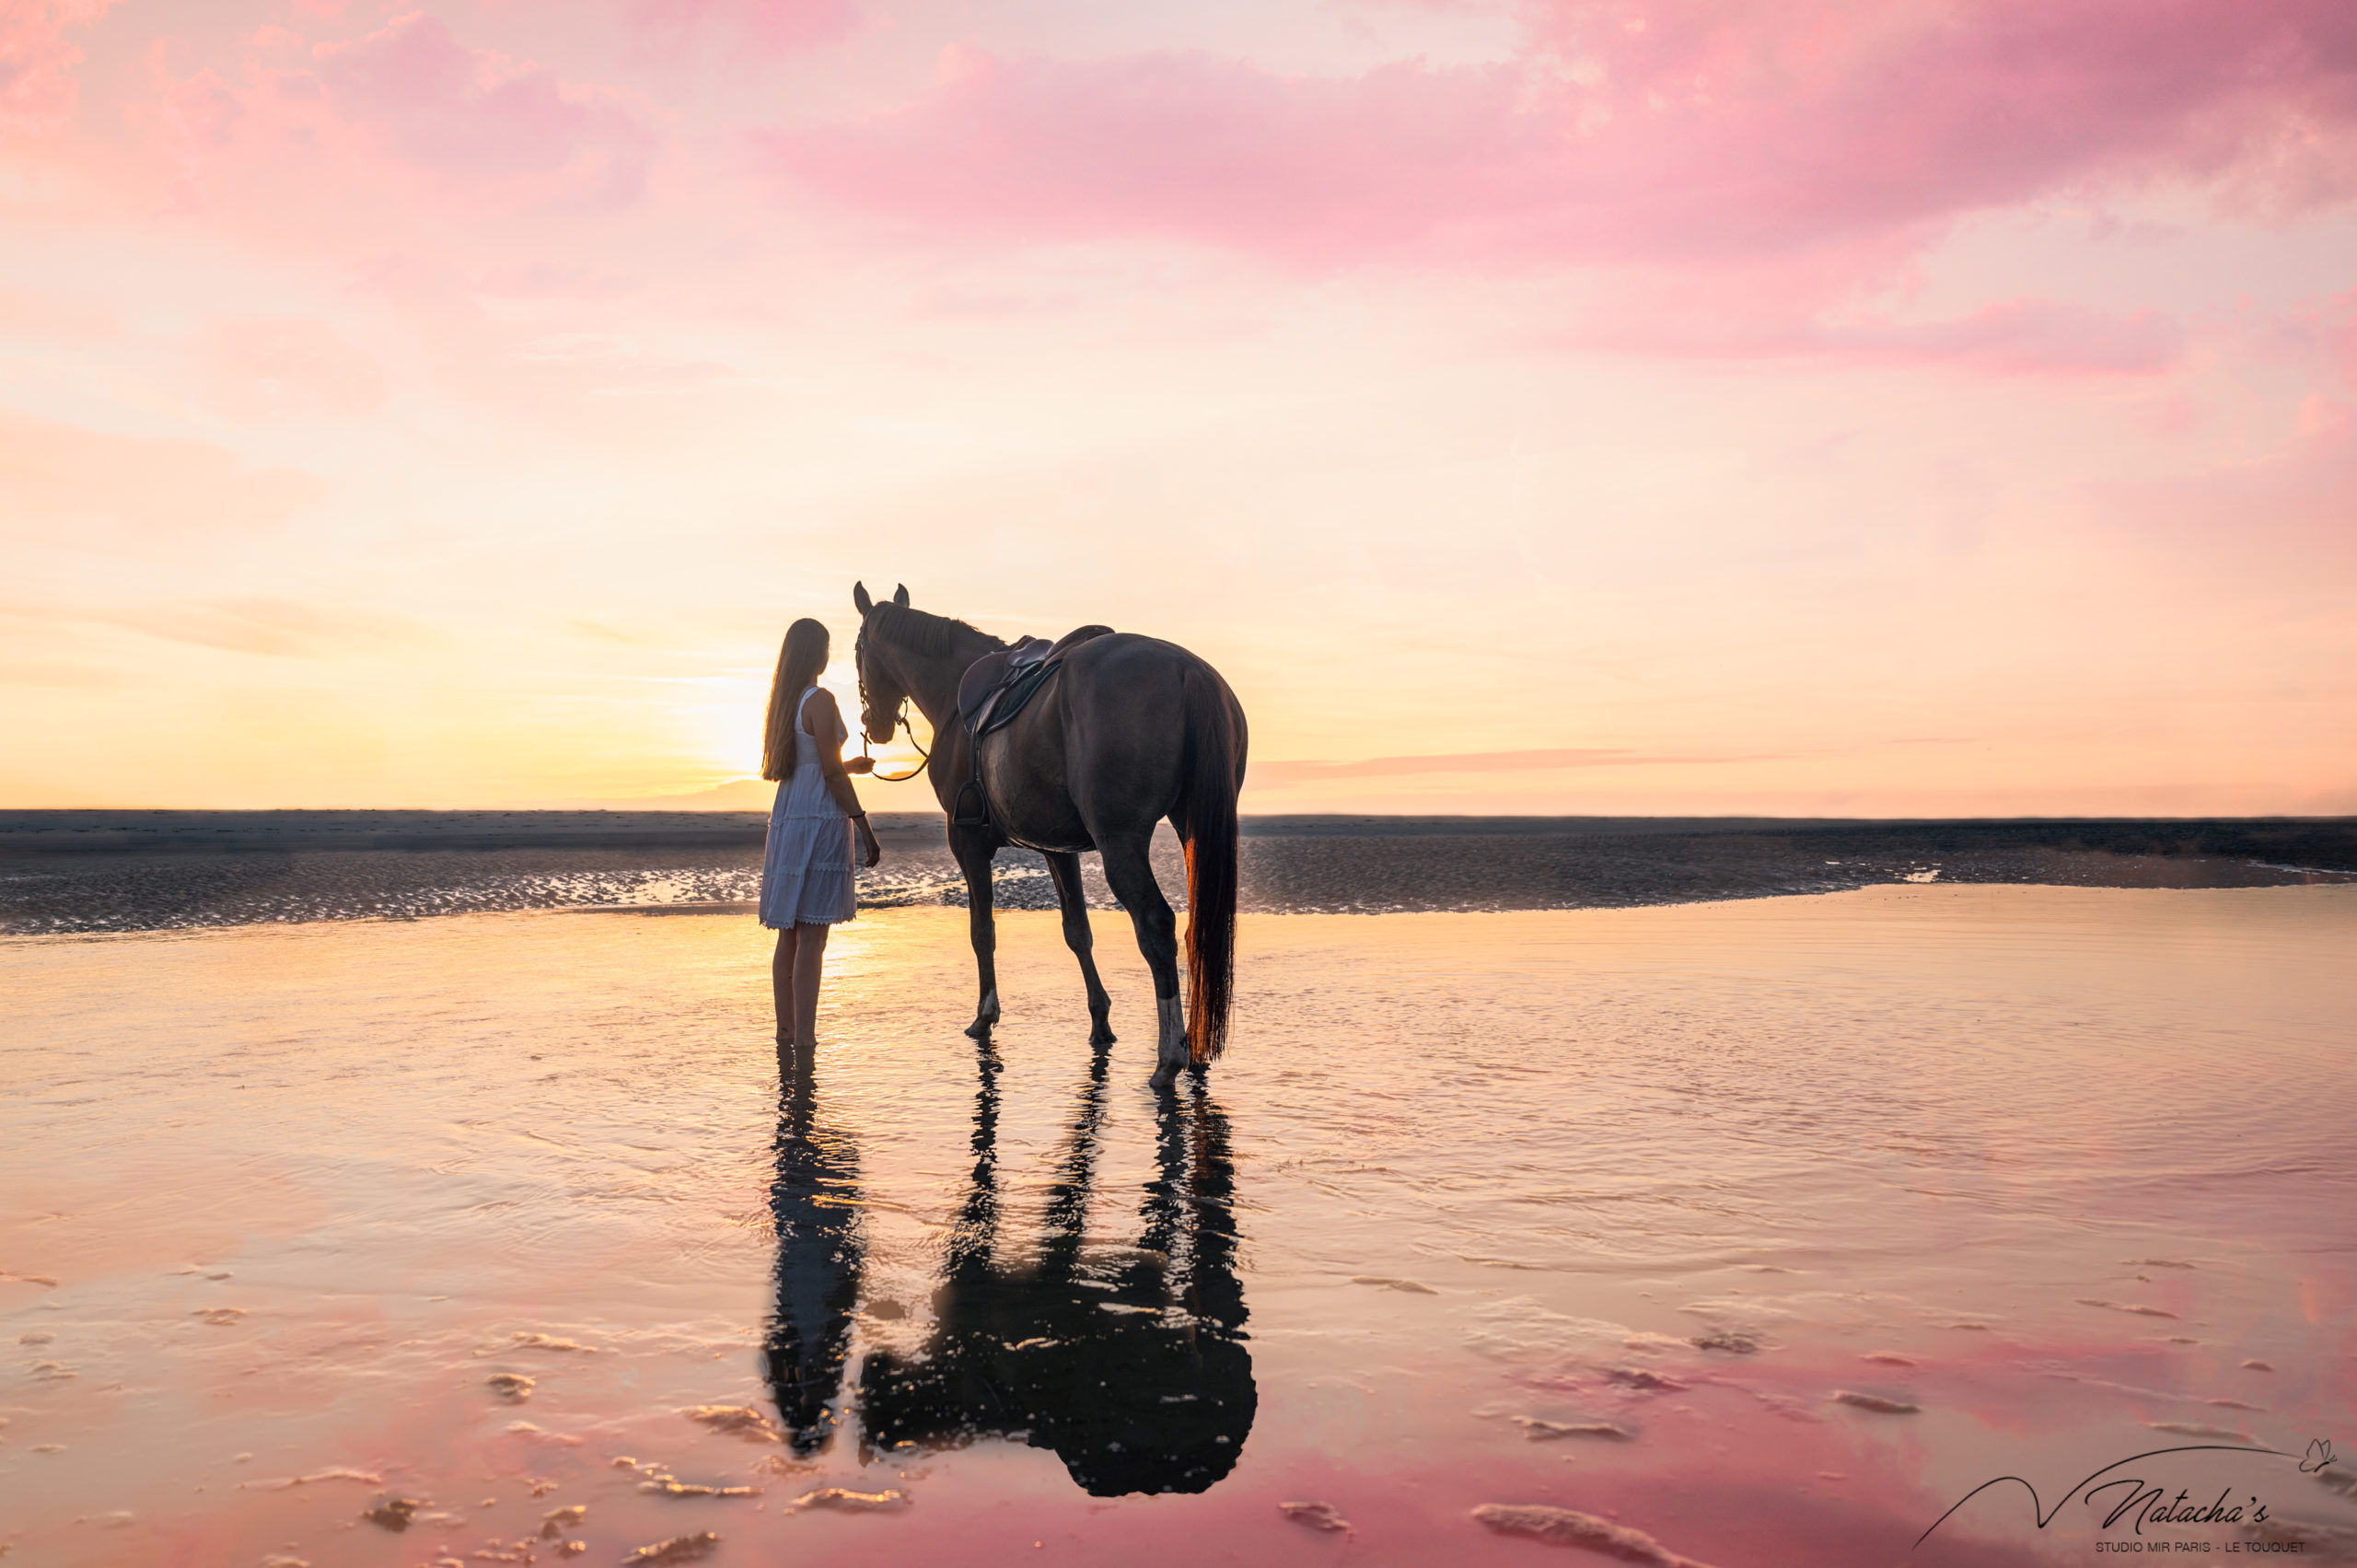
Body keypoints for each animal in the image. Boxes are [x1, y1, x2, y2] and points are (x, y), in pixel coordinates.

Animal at [853, 579, 1253, 1085]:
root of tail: (1186, 669)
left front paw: (985, 1016)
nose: (875, 726)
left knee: (1156, 926)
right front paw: (1100, 1021)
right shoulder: (1057, 848)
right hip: (1193, 830)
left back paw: (1169, 1058)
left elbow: (982, 931)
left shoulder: (968, 843)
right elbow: (1077, 931)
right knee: (1197, 929)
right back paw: (1195, 1044)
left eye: (858, 651)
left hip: (1121, 842)